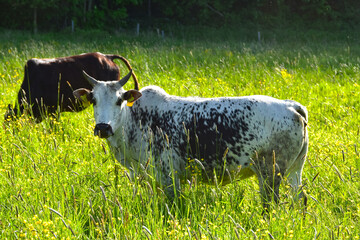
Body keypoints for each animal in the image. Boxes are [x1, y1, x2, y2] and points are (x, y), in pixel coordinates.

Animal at [74, 70, 310, 209]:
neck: (136, 120)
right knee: (300, 199)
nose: (103, 128)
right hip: (294, 171)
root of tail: (291, 106)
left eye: (119, 100)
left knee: (271, 204)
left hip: (270, 174)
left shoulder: (169, 176)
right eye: (93, 100)